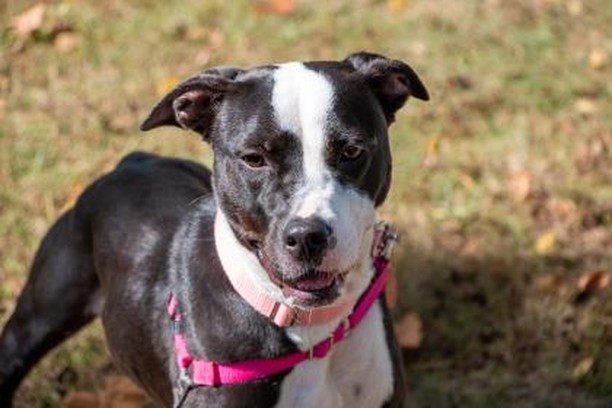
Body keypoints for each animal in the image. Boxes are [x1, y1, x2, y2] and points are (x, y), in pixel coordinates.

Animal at [0, 52, 428, 406]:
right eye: (254, 159)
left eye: (352, 151)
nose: (308, 236)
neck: (312, 337)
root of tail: (133, 162)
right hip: (39, 315)